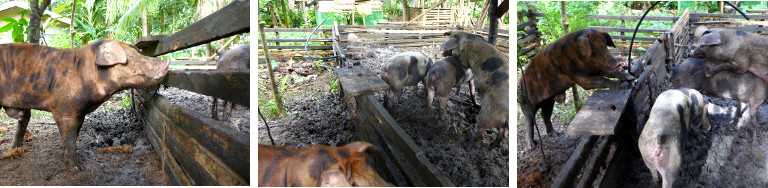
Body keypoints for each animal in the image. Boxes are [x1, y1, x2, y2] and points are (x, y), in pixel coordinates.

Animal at [0, 40, 170, 172]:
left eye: (139, 54)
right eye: (131, 58)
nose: (167, 63)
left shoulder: (80, 112)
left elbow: (74, 135)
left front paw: (67, 160)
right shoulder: (64, 109)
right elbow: (69, 139)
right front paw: (77, 169)